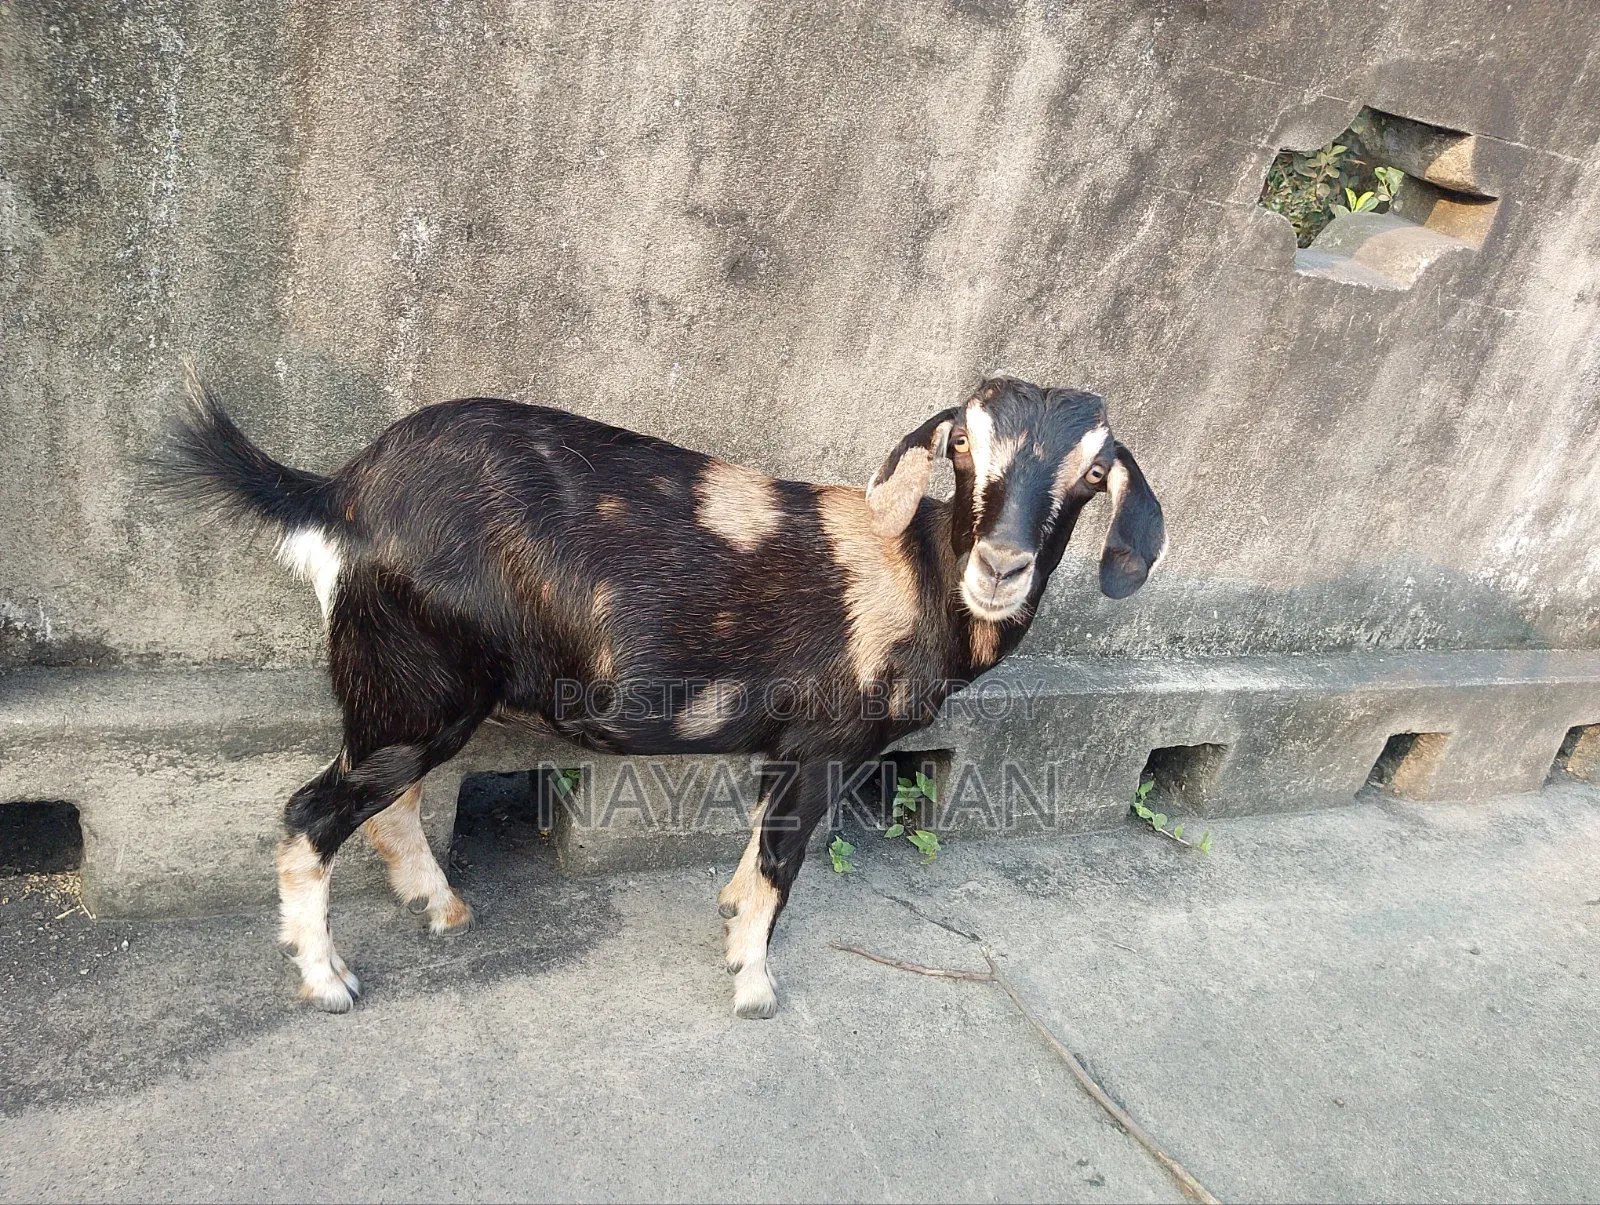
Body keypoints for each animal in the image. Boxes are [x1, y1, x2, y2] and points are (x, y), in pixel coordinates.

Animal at [169, 373, 1165, 1017]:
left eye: (1092, 473)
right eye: (963, 443)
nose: (1001, 566)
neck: (913, 571)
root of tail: (340, 494)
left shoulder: (785, 745)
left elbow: (758, 837)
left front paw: (727, 912)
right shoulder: (826, 744)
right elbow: (785, 860)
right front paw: (754, 985)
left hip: (411, 690)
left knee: (390, 803)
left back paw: (442, 907)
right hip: (420, 688)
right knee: (315, 810)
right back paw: (328, 981)